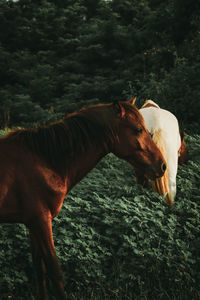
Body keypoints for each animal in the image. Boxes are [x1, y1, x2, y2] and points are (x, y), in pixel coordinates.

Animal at [0, 99, 166, 300]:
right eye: (138, 129)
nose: (162, 166)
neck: (44, 161)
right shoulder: (41, 220)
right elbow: (54, 270)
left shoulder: (32, 223)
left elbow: (40, 271)